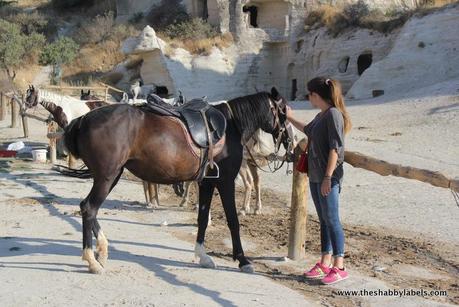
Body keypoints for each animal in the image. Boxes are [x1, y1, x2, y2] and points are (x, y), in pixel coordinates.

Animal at [59, 88, 292, 274]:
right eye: (283, 111)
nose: (289, 140)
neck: (231, 125)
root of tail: (83, 120)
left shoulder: (207, 183)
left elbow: (202, 218)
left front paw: (203, 256)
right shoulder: (225, 182)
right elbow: (233, 220)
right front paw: (243, 260)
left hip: (111, 176)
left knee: (88, 208)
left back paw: (102, 250)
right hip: (106, 177)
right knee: (89, 208)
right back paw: (92, 260)